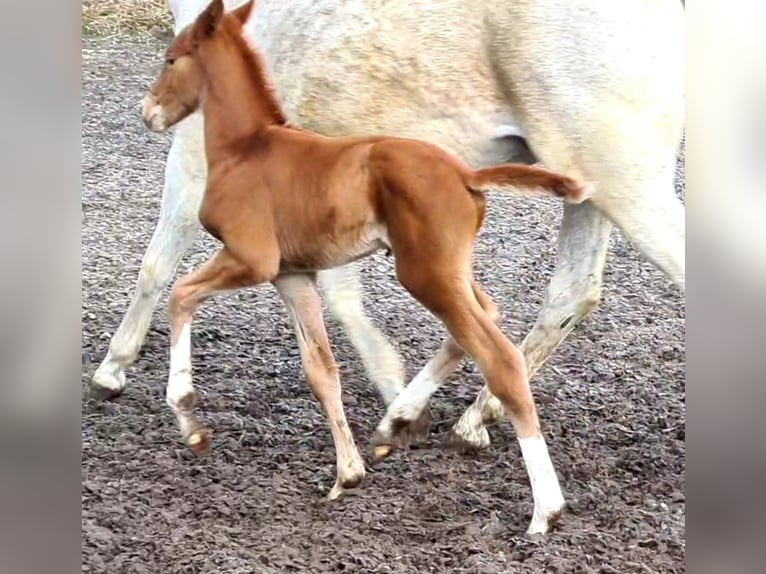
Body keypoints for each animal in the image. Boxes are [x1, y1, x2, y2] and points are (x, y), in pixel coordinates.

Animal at [92, 0, 684, 452]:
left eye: (171, 59)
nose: (147, 112)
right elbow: (338, 295)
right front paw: (392, 392)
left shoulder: (195, 153)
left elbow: (156, 264)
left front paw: (112, 369)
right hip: (587, 188)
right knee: (568, 297)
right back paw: (462, 419)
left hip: (625, 184)